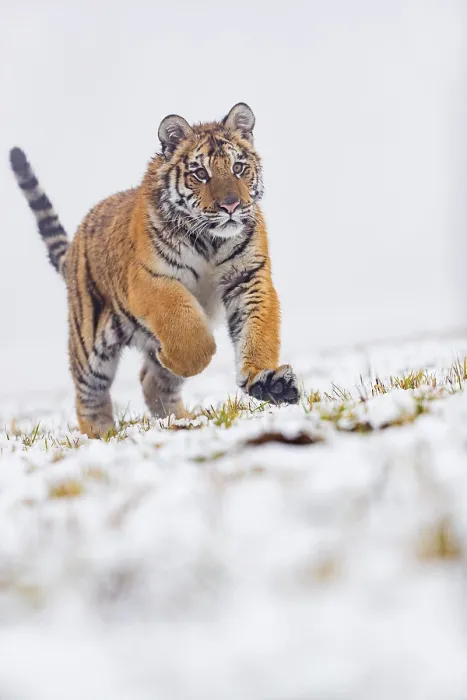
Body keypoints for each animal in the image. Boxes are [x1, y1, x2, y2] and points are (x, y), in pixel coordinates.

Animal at [10, 102, 299, 438]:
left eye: (238, 168)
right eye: (201, 174)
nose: (231, 206)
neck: (210, 240)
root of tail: (73, 249)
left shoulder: (249, 277)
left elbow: (258, 330)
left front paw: (267, 381)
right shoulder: (152, 280)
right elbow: (190, 333)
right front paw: (174, 356)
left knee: (152, 383)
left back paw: (180, 420)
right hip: (89, 343)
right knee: (89, 396)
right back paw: (101, 435)